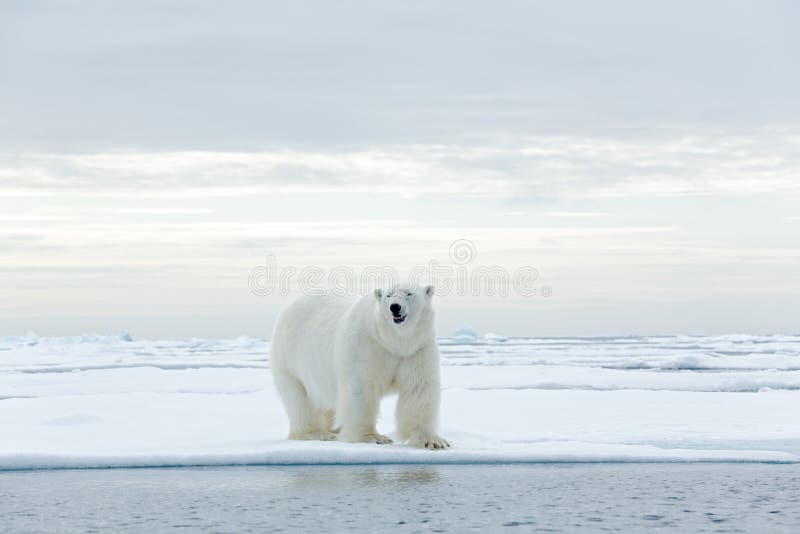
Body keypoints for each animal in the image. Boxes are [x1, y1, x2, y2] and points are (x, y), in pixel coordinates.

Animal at [272, 286, 450, 450]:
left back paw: (335, 430)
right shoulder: (365, 346)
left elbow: (418, 388)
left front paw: (433, 441)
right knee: (300, 400)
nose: (395, 307)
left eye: (409, 293)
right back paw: (317, 433)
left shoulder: (416, 349)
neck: (393, 341)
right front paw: (373, 438)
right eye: (388, 295)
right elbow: (361, 389)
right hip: (290, 359)